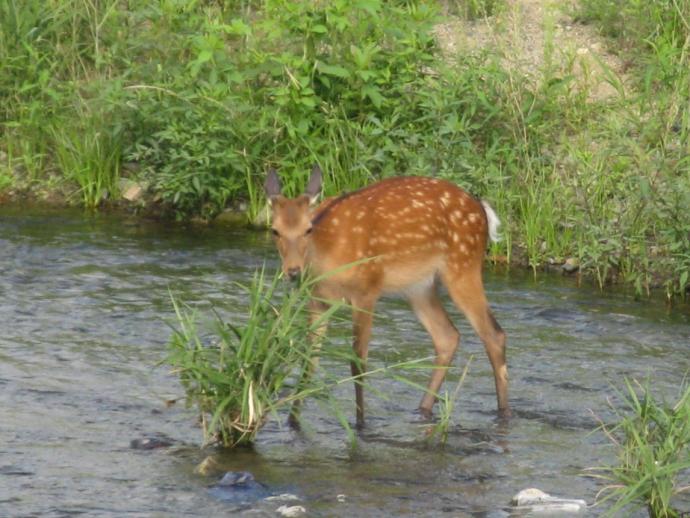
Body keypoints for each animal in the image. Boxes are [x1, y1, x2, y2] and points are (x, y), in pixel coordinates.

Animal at [262, 168, 506, 430]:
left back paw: (503, 413)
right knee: (447, 336)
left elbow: (358, 360)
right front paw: (292, 421)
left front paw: (360, 424)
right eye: (274, 230)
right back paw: (422, 409)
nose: (293, 271)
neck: (327, 257)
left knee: (493, 334)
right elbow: (309, 359)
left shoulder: (366, 290)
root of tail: (482, 209)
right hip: (419, 287)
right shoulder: (317, 299)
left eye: (308, 229)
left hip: (462, 266)